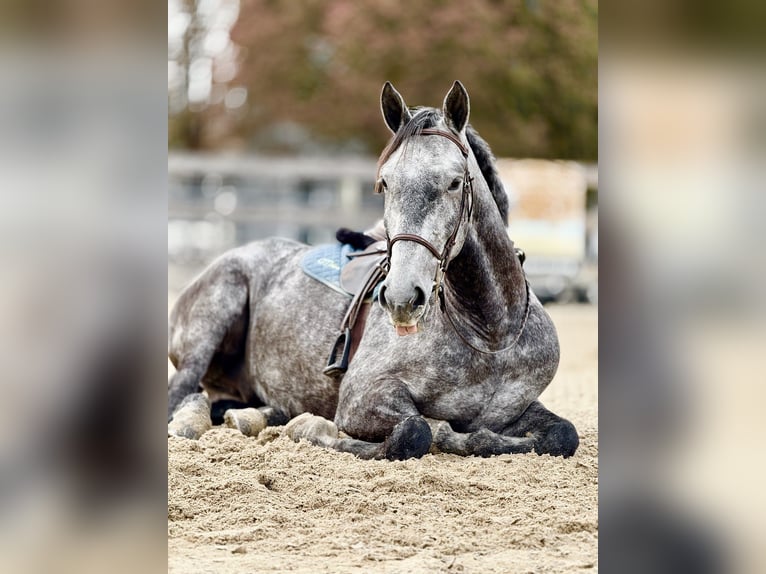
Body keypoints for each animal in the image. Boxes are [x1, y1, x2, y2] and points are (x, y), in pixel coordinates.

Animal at [168, 81, 579, 460]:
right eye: (385, 184)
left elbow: (562, 435)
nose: (401, 298)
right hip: (212, 319)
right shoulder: (363, 397)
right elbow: (418, 431)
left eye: (454, 182)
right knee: (181, 396)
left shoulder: (516, 408)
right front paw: (314, 429)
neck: (489, 333)